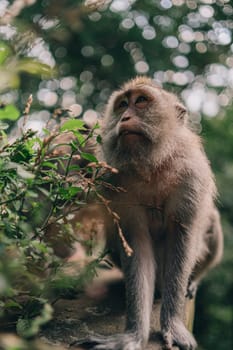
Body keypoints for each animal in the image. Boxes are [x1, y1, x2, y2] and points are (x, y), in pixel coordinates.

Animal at [78, 76, 224, 350]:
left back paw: (193, 281)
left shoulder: (191, 175)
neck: (151, 167)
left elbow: (182, 236)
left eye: (142, 101)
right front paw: (133, 334)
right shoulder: (115, 183)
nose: (125, 117)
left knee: (210, 221)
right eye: (122, 105)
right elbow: (136, 244)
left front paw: (173, 325)